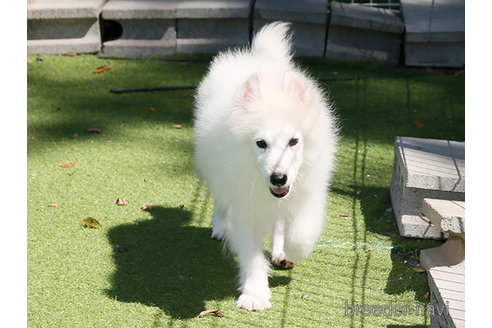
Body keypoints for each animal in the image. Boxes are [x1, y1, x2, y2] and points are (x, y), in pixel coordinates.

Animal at [192, 22, 338, 310]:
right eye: (261, 143)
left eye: (294, 141)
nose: (278, 178)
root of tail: (258, 56)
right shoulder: (246, 208)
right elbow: (251, 255)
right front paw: (255, 294)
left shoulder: (308, 195)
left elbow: (301, 233)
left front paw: (291, 251)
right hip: (216, 174)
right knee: (220, 202)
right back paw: (220, 228)